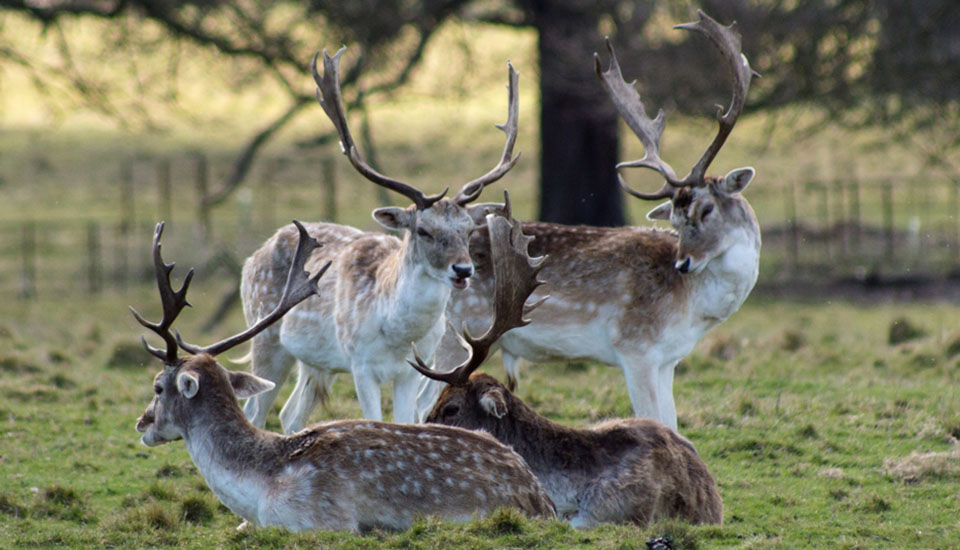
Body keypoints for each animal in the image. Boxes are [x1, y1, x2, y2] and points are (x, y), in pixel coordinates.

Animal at [240, 47, 520, 434]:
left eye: (466, 229)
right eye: (422, 230)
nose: (462, 269)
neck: (398, 336)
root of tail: (252, 258)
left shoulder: (415, 369)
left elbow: (407, 421)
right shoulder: (360, 364)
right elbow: (374, 419)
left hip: (316, 361)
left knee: (290, 413)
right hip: (264, 334)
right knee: (254, 410)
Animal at [432, 9, 760, 432]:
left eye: (707, 210)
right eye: (675, 216)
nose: (684, 263)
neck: (690, 309)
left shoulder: (668, 361)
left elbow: (671, 422)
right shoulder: (635, 348)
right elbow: (654, 418)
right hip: (448, 337)